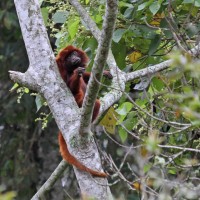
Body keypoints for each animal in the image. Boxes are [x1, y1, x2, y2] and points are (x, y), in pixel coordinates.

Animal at [56, 45, 111, 177]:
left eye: (74, 53)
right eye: (68, 58)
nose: (74, 58)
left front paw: (104, 73)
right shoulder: (59, 71)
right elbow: (68, 89)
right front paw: (76, 74)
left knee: (96, 104)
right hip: (79, 103)